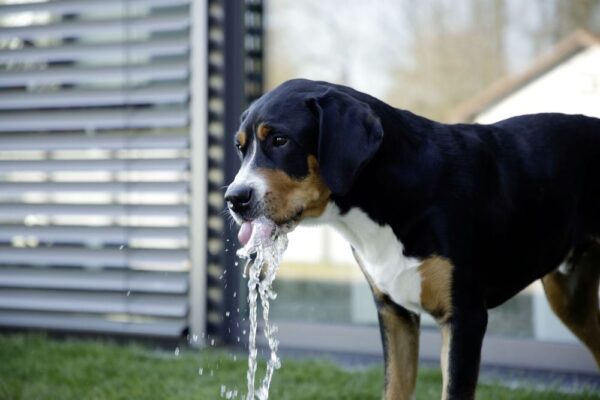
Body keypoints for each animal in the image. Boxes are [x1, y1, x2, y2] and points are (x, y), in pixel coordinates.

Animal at [225, 79, 600, 400]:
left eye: (280, 140)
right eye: (240, 147)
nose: (234, 198)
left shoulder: (464, 316)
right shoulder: (395, 314)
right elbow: (395, 387)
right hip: (569, 298)